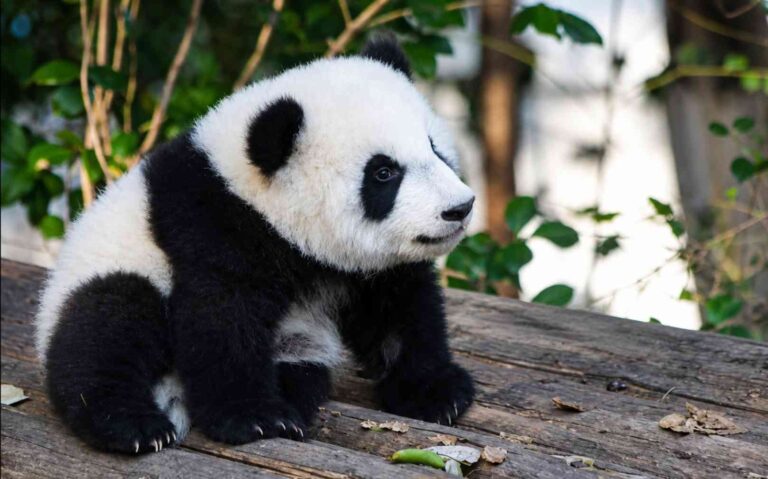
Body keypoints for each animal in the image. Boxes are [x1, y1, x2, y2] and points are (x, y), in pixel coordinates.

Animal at [36, 35, 476, 454]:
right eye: (384, 173)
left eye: (435, 148)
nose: (460, 208)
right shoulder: (210, 225)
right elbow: (221, 318)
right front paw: (255, 419)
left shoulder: (365, 267)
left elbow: (399, 308)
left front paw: (436, 392)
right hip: (110, 269)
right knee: (105, 326)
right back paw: (133, 425)